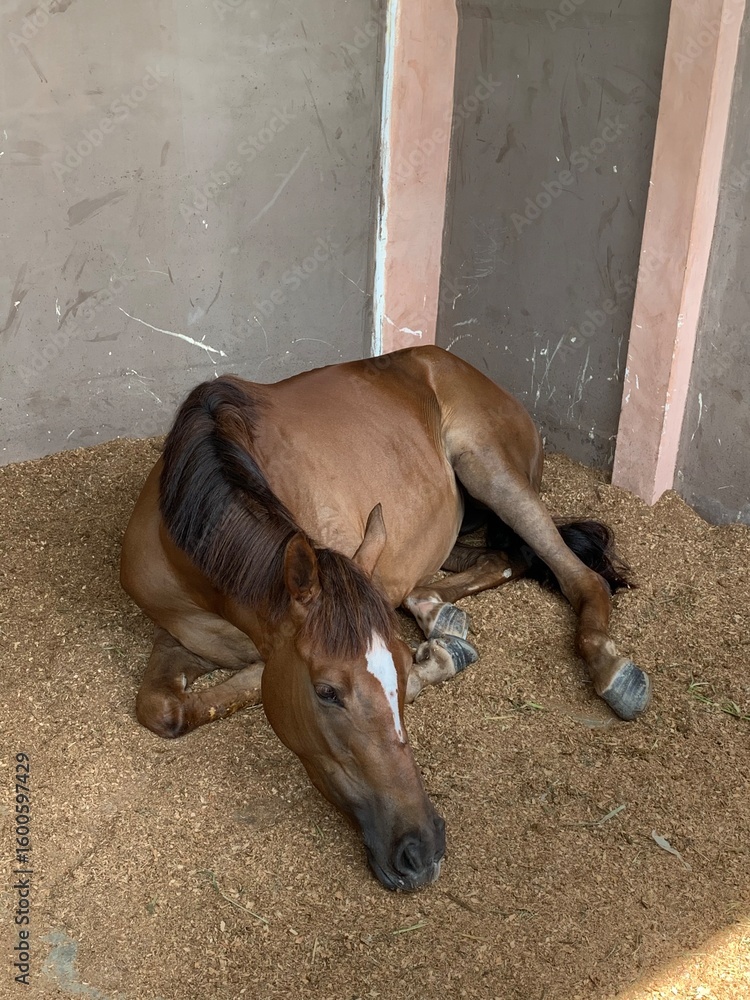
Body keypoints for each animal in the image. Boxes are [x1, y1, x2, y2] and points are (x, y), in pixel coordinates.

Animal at [120, 345, 650, 891]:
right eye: (326, 692)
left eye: (396, 664)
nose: (423, 849)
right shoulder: (189, 638)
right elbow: (163, 708)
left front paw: (431, 664)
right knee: (500, 559)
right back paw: (440, 615)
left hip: (489, 469)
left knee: (576, 576)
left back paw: (613, 672)